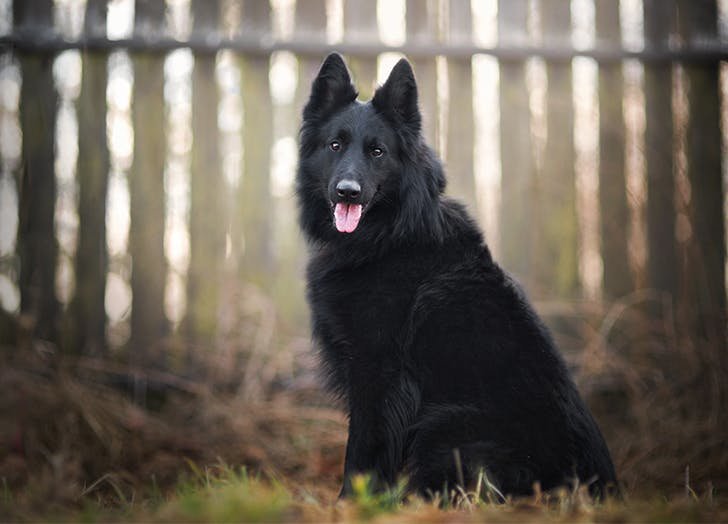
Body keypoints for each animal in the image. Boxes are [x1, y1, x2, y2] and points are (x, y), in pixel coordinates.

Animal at [296, 53, 616, 500]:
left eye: (377, 151)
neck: (389, 236)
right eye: (335, 145)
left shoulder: (379, 374)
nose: (347, 192)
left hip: (443, 425)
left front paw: (352, 503)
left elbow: (363, 451)